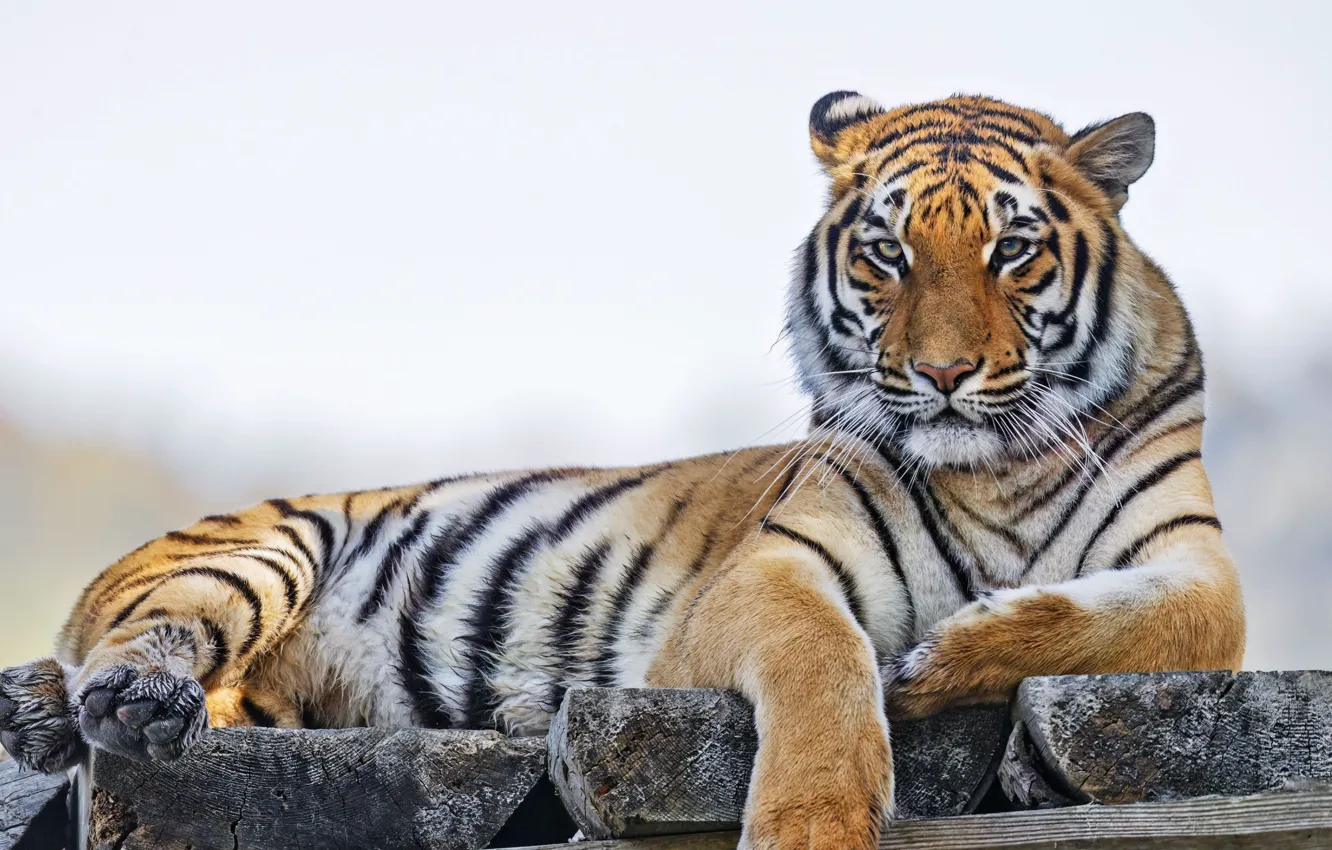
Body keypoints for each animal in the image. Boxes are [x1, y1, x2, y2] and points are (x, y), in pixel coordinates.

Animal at [0, 91, 1244, 850]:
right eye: (886, 254)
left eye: (1012, 249)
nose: (941, 374)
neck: (994, 471)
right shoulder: (767, 576)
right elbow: (827, 662)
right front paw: (811, 821)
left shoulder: (1200, 577)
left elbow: (1136, 621)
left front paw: (949, 655)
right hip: (266, 547)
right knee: (138, 634)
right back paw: (111, 701)